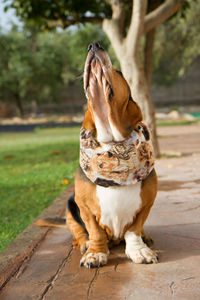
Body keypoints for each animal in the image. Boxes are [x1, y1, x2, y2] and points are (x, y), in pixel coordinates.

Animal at [36, 41, 158, 268]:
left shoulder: (147, 202)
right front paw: (95, 253)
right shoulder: (83, 207)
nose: (94, 44)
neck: (112, 143)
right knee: (78, 232)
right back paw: (84, 243)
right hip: (70, 208)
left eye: (118, 72)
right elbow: (95, 232)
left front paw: (139, 250)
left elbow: (134, 230)